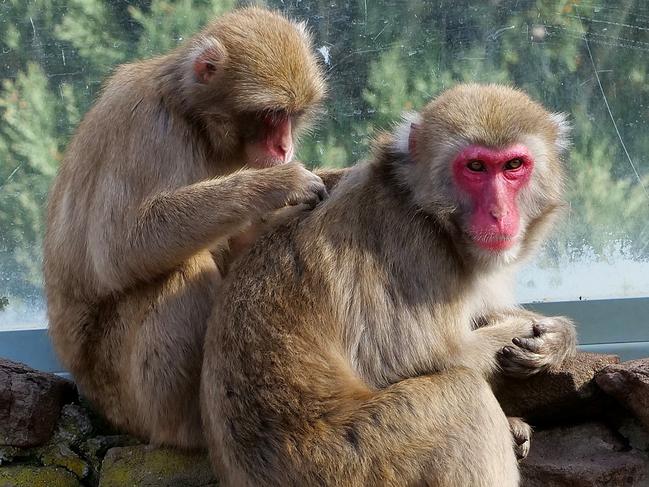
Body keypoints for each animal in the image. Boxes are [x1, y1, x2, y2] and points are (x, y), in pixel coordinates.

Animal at [43, 8, 332, 450]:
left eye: (292, 115)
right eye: (270, 115)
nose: (284, 148)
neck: (191, 118)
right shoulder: (147, 127)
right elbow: (121, 245)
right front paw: (280, 185)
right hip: (118, 391)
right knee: (180, 269)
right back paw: (192, 429)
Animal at [202, 85, 576, 487]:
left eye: (513, 166)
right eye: (476, 167)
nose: (499, 214)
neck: (423, 207)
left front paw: (558, 337)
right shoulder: (413, 248)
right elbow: (426, 359)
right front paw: (529, 328)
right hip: (348, 462)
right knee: (464, 394)